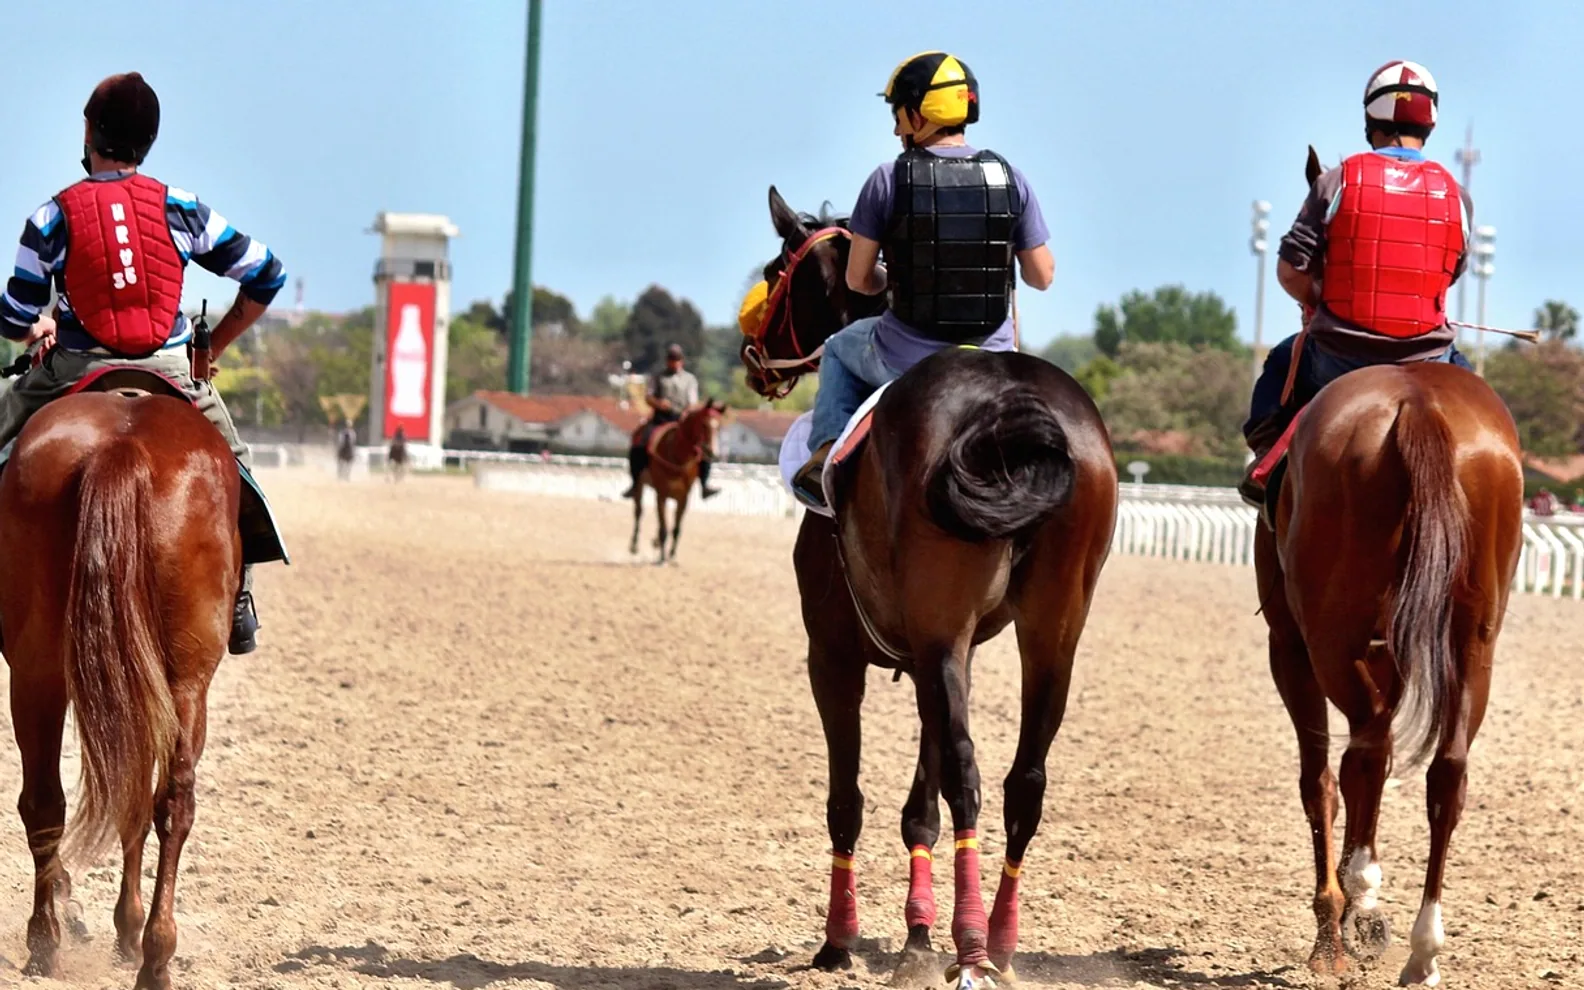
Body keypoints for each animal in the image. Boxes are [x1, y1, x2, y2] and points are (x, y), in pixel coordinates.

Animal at [0, 377, 243, 990]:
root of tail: (122, 447)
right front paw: (126, 928)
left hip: (38, 670)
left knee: (48, 800)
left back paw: (52, 942)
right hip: (183, 681)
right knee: (168, 802)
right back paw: (149, 954)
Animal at [628, 400, 724, 564]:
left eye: (719, 426)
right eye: (704, 424)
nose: (712, 453)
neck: (678, 457)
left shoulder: (683, 498)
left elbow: (676, 528)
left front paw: (672, 556)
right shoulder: (661, 495)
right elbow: (663, 527)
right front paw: (662, 558)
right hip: (639, 485)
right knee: (638, 511)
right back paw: (634, 545)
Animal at [744, 187, 1118, 988]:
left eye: (774, 271)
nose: (751, 354)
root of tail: (1014, 410)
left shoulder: (836, 654)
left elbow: (849, 798)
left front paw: (839, 942)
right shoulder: (936, 653)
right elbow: (923, 797)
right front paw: (916, 940)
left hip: (944, 631)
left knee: (971, 775)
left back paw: (972, 948)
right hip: (1052, 635)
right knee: (1022, 780)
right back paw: (998, 944)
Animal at [1256, 148, 1525, 985]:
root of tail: (1418, 405)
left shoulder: (1289, 641)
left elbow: (1317, 774)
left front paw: (1333, 927)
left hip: (1332, 630)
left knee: (1361, 752)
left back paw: (1361, 902)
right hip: (1473, 632)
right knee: (1447, 767)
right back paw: (1423, 947)